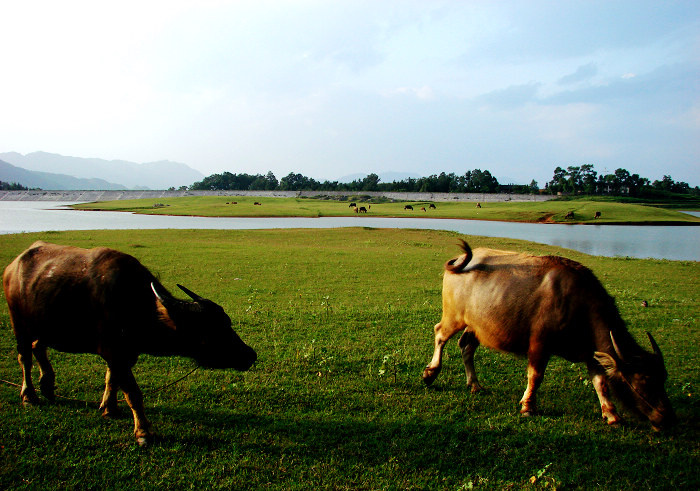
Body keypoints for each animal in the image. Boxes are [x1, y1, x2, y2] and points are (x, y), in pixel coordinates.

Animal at [2, 242, 258, 446]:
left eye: (226, 322)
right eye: (213, 329)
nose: (250, 354)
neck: (136, 306)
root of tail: (14, 266)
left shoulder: (124, 354)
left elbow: (111, 379)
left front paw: (110, 408)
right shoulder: (116, 352)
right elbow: (133, 392)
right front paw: (143, 432)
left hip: (43, 324)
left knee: (38, 346)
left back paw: (47, 386)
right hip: (19, 323)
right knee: (24, 356)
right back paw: (29, 395)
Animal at [424, 241, 676, 430]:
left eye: (662, 378)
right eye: (643, 382)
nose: (666, 418)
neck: (579, 306)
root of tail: (460, 261)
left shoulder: (591, 353)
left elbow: (601, 383)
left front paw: (612, 415)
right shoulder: (539, 344)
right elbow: (535, 376)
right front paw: (528, 407)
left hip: (477, 325)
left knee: (466, 346)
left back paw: (475, 384)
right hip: (454, 316)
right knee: (440, 334)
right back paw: (430, 373)